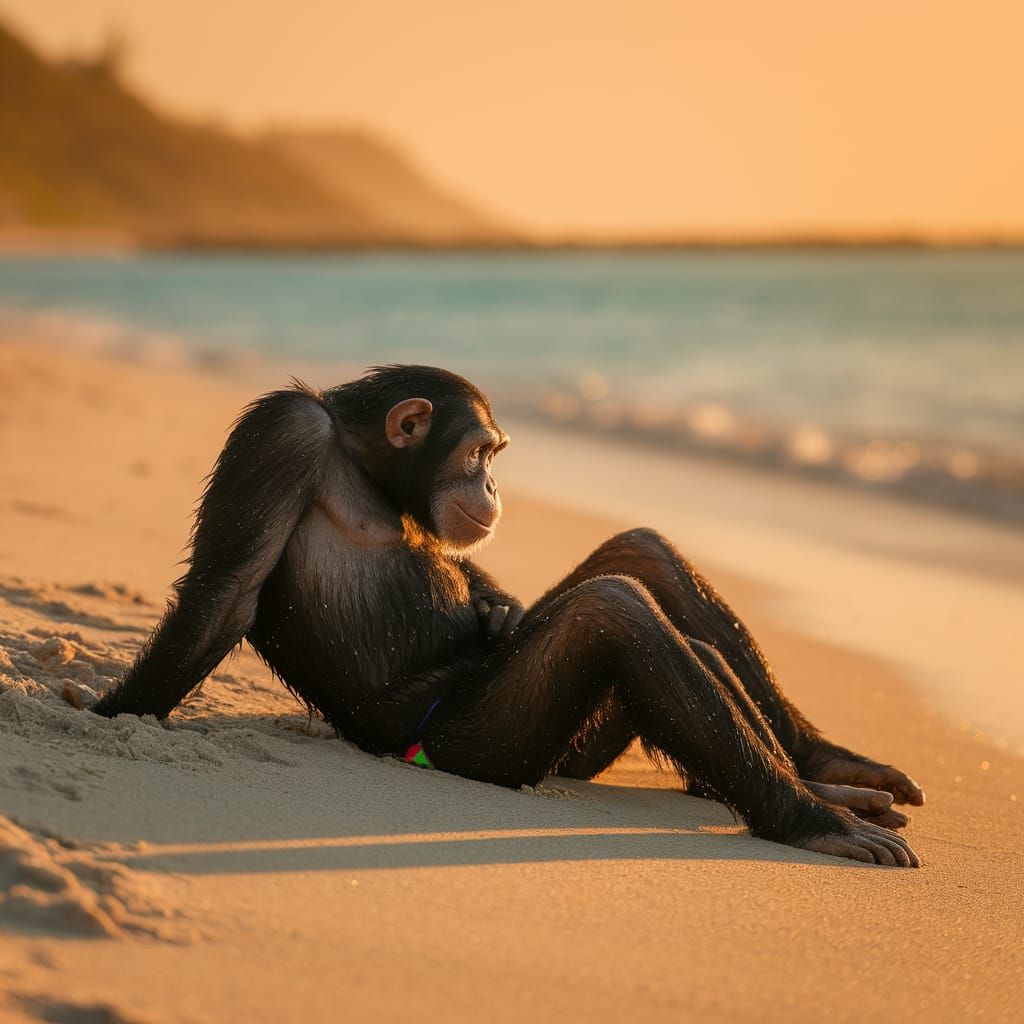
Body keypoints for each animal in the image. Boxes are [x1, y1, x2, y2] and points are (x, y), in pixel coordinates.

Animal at [93, 365, 924, 867]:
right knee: (614, 609)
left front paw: (497, 605)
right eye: (480, 454)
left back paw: (831, 775)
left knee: (647, 560)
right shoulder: (279, 435)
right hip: (487, 742)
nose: (495, 487)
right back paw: (812, 820)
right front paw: (110, 714)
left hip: (579, 744)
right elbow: (226, 594)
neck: (361, 459)